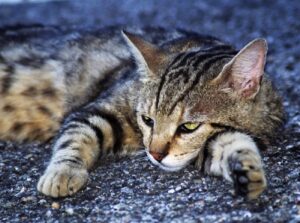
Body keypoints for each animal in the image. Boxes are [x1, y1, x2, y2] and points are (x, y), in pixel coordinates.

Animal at [0, 25, 282, 199]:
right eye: (148, 120)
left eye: (188, 127)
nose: (155, 155)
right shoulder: (97, 110)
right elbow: (76, 136)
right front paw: (63, 171)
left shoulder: (204, 145)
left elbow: (230, 142)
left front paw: (246, 168)